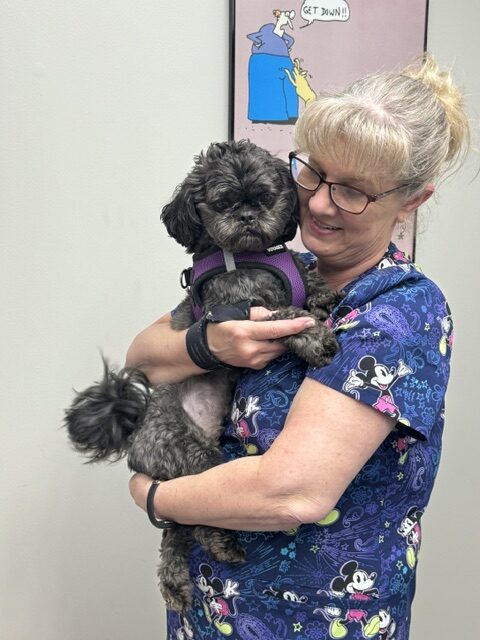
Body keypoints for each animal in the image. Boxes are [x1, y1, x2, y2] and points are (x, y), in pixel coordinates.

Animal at [64, 139, 342, 608]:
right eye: (223, 202)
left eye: (265, 197)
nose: (247, 218)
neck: (248, 256)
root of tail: (135, 431)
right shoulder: (239, 311)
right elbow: (286, 313)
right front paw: (312, 336)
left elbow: (308, 277)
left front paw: (323, 296)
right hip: (194, 458)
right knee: (197, 522)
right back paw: (222, 546)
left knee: (176, 530)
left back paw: (176, 582)